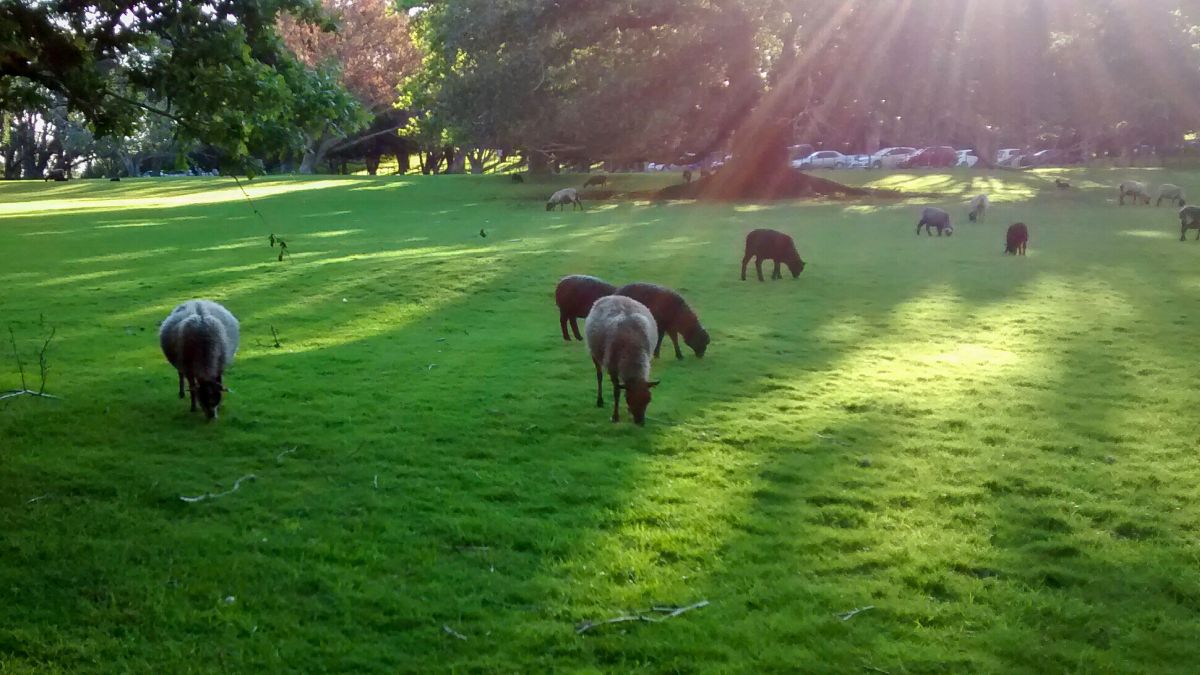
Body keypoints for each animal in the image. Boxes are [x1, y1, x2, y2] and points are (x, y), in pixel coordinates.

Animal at [585, 295, 662, 425]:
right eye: (628, 399)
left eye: (648, 399)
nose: (640, 423)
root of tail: (612, 296)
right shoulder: (612, 368)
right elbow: (617, 392)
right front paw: (615, 417)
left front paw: (629, 413)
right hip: (594, 354)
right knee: (599, 376)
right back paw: (600, 401)